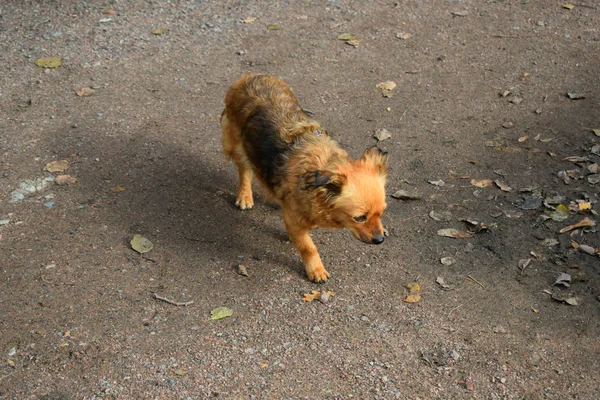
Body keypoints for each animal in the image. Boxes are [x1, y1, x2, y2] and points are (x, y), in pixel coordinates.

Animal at [221, 74, 390, 282]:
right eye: (359, 218)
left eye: (381, 213)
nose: (380, 240)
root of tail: (249, 77)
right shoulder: (295, 221)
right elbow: (308, 247)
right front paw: (315, 269)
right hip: (237, 144)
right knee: (244, 170)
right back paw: (245, 196)